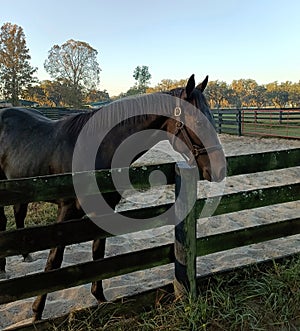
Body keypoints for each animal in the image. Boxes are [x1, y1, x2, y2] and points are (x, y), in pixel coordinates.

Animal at [0, 74, 225, 320]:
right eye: (199, 123)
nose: (220, 169)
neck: (94, 149)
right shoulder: (66, 211)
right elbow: (54, 262)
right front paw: (37, 313)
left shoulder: (104, 211)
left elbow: (98, 255)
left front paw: (100, 299)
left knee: (17, 214)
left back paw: (22, 257)